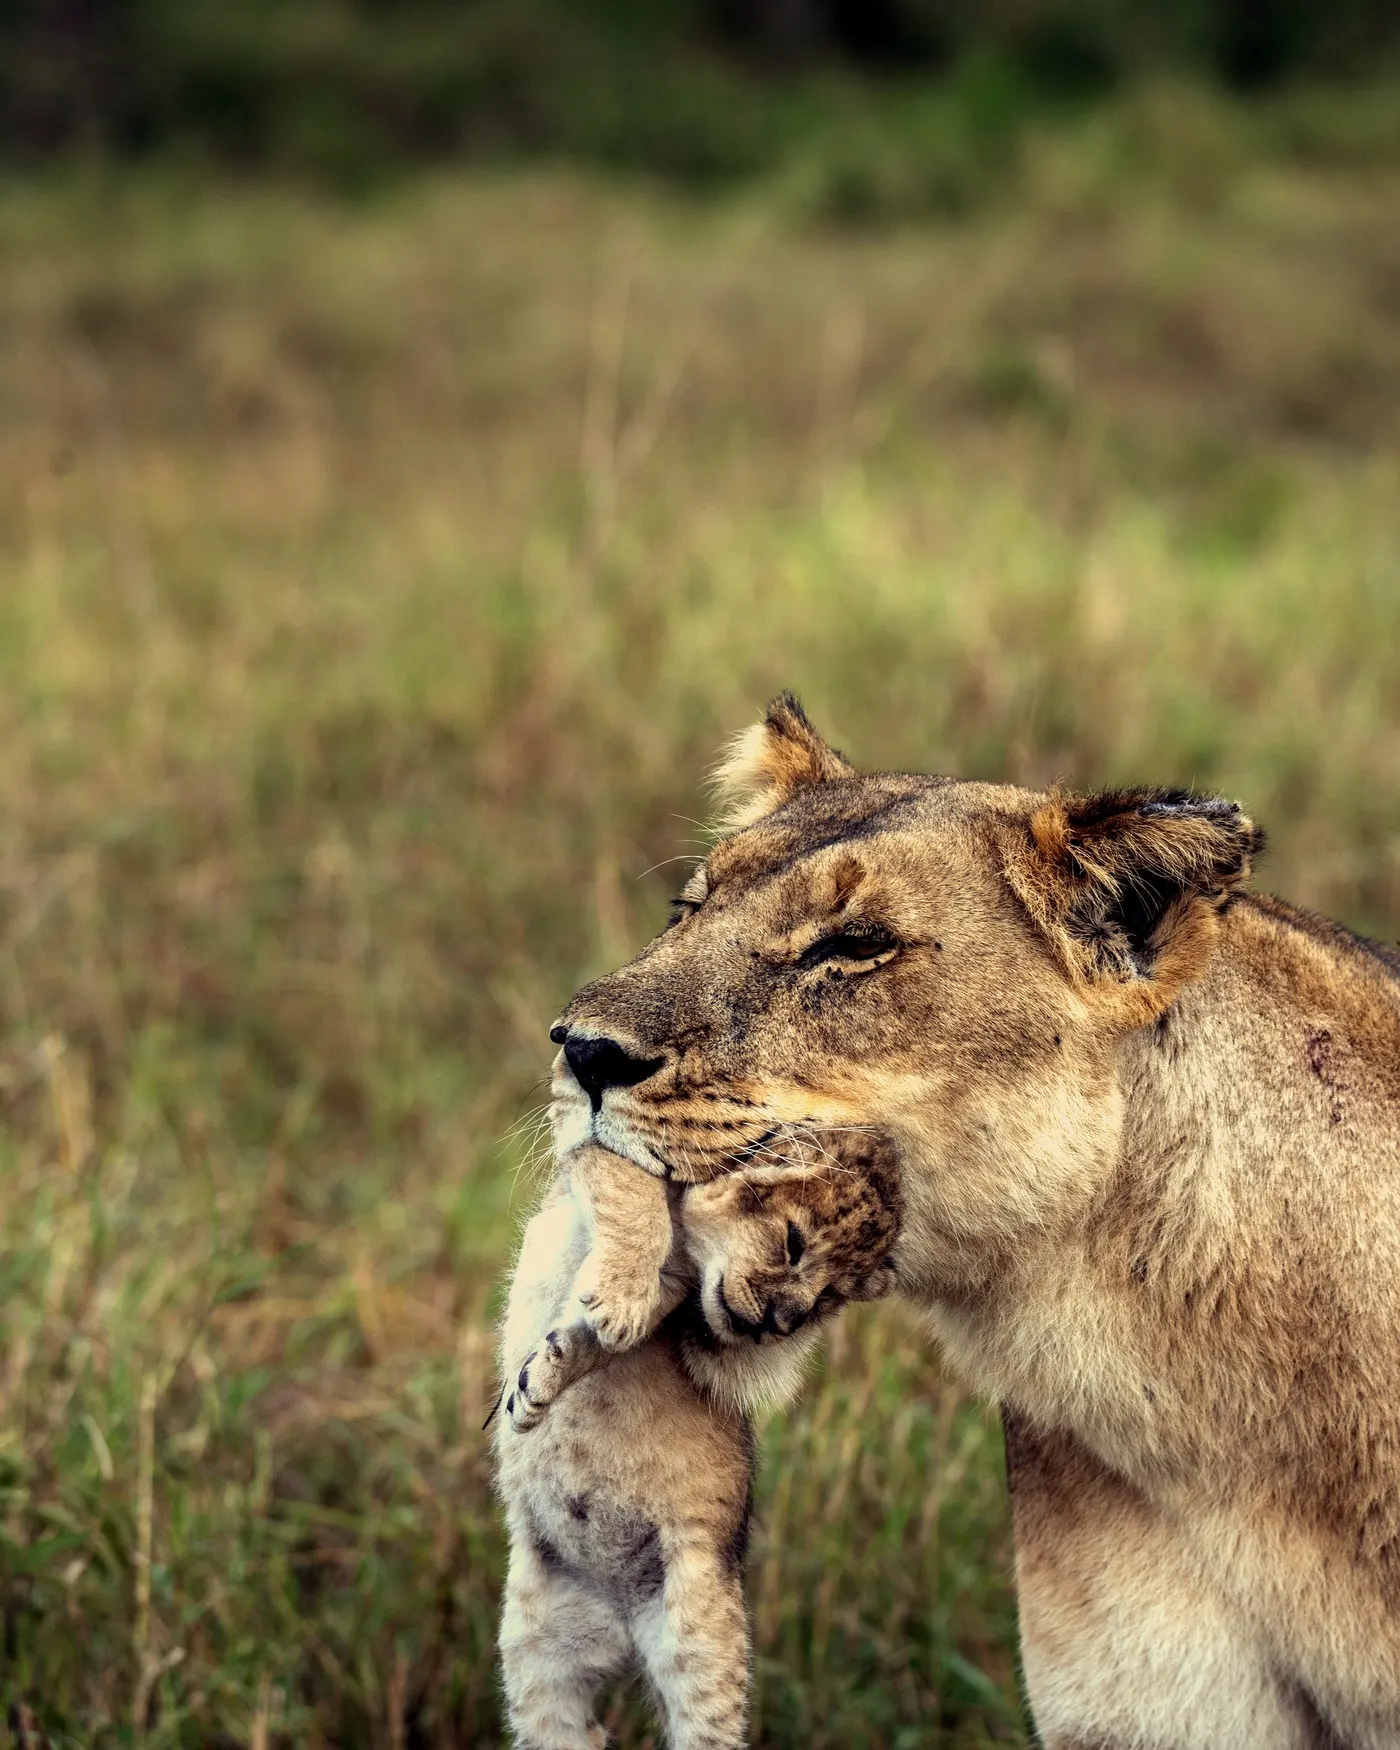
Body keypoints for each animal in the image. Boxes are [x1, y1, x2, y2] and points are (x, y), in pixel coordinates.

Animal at [494, 1132, 902, 1750]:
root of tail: (620, 1629)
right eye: (793, 1243)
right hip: (538, 1670)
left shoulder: (677, 1289)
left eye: (831, 1295)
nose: (780, 1324)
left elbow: (602, 1338)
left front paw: (550, 1373)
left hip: (703, 1646)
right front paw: (536, 1385)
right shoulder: (590, 1166)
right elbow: (624, 1189)